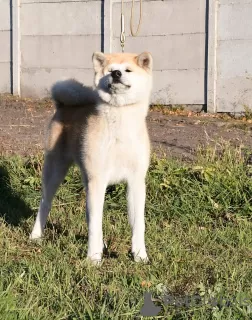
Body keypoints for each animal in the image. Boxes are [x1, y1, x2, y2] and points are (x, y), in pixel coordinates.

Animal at [29, 51, 154, 264]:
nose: (117, 74)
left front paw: (140, 255)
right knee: (45, 203)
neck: (121, 124)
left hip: (86, 179)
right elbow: (96, 223)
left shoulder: (135, 182)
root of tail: (63, 105)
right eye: (111, 71)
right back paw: (36, 235)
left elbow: (138, 224)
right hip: (55, 171)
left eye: (128, 70)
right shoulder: (98, 180)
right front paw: (94, 258)